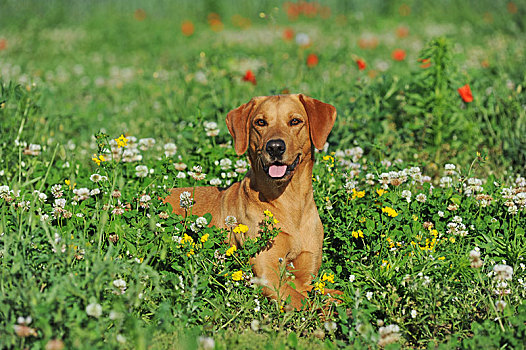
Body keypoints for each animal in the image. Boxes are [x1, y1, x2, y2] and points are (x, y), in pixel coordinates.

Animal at [164, 93, 338, 308]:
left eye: (295, 121)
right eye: (260, 122)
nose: (275, 147)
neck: (290, 201)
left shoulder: (307, 279)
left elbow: (335, 294)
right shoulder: (268, 275)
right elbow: (304, 302)